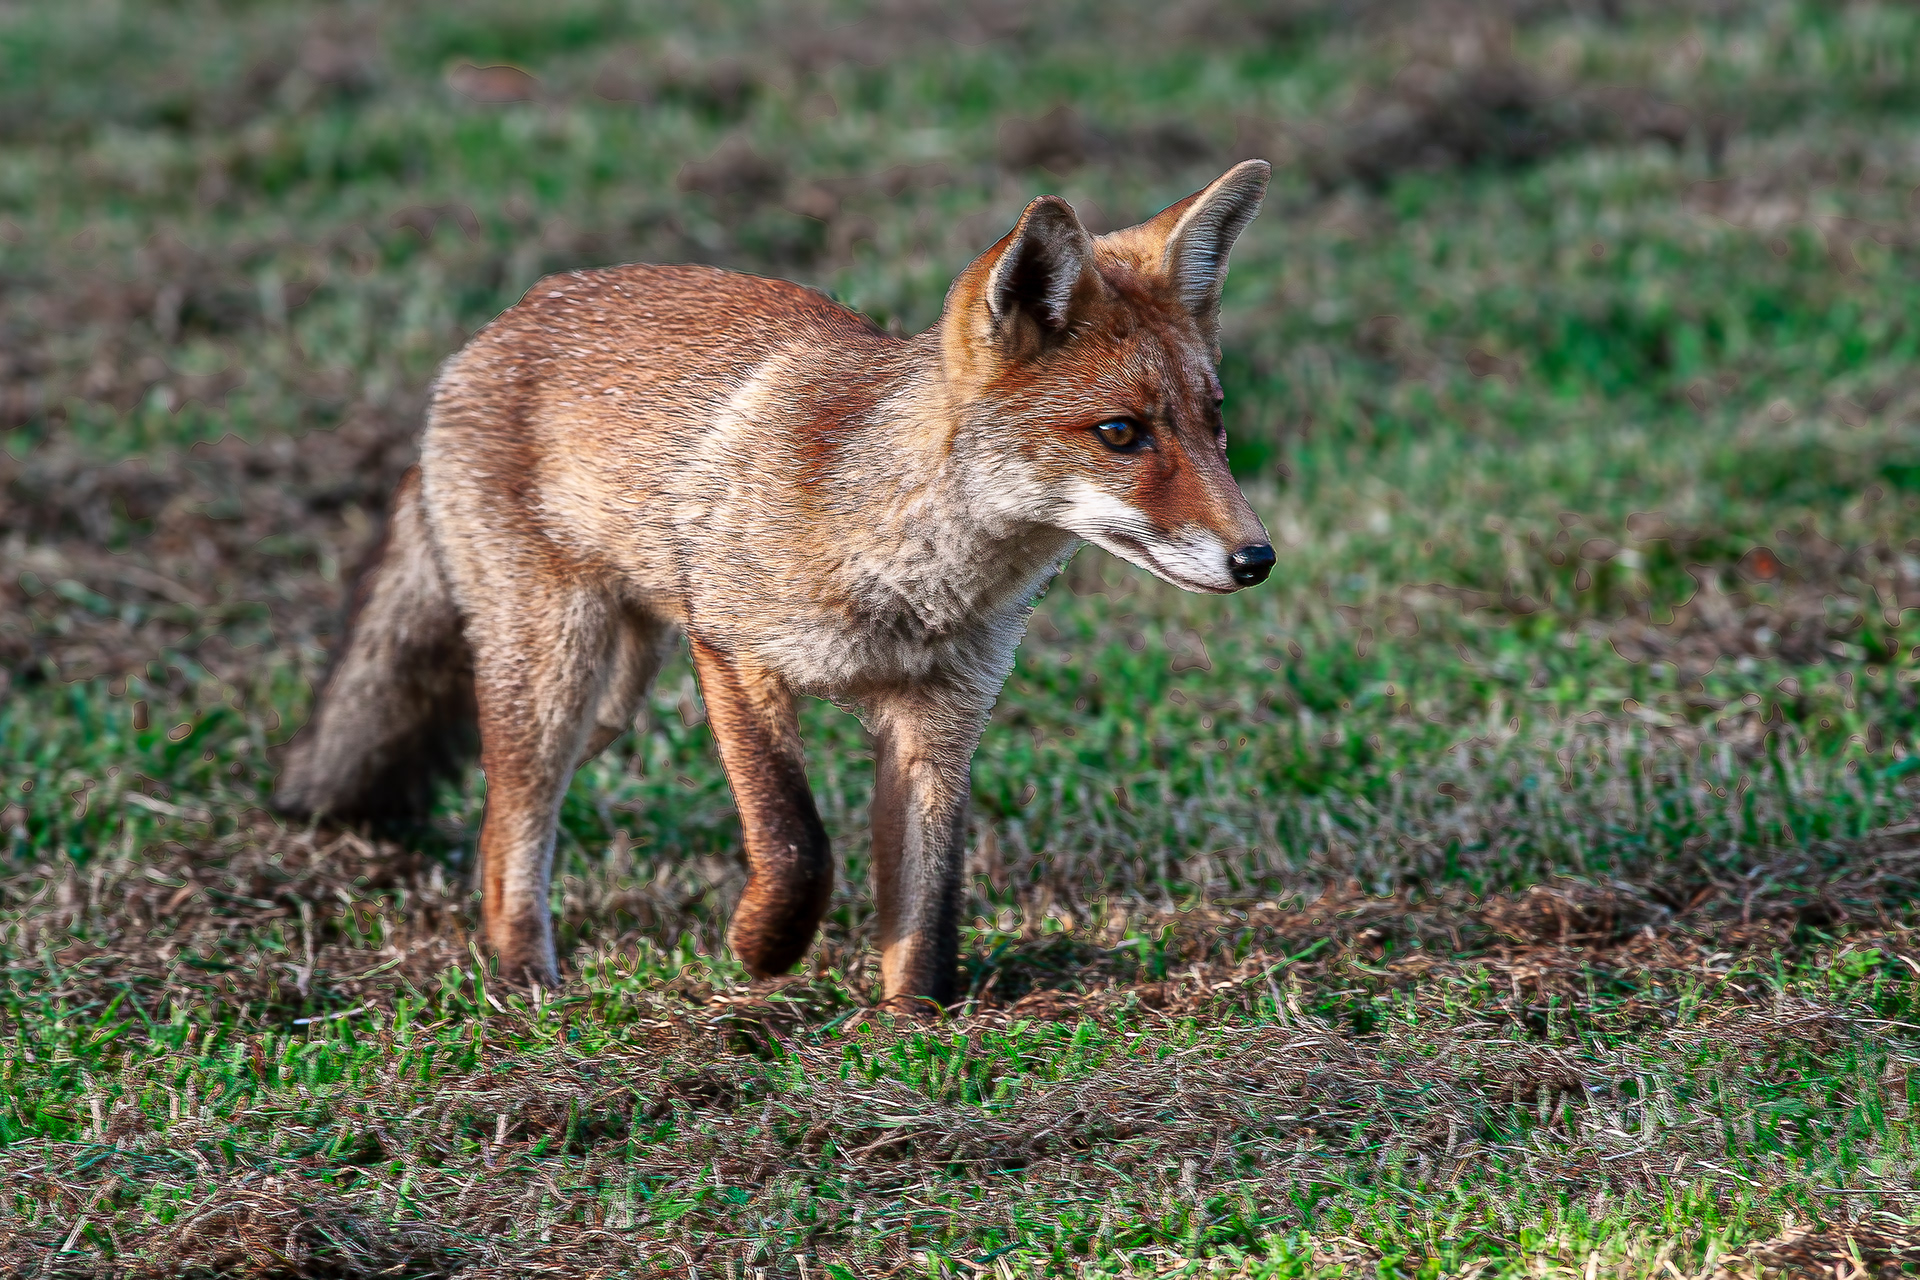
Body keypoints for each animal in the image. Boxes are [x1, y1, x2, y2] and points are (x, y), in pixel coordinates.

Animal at [274, 159, 1277, 1006]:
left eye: (1215, 422)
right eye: (1120, 434)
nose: (1257, 559)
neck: (908, 579)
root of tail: (495, 328)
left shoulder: (942, 717)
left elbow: (927, 904)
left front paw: (913, 1033)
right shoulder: (730, 650)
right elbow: (797, 844)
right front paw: (762, 951)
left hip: (611, 698)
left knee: (489, 796)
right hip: (557, 671)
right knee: (507, 826)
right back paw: (526, 985)